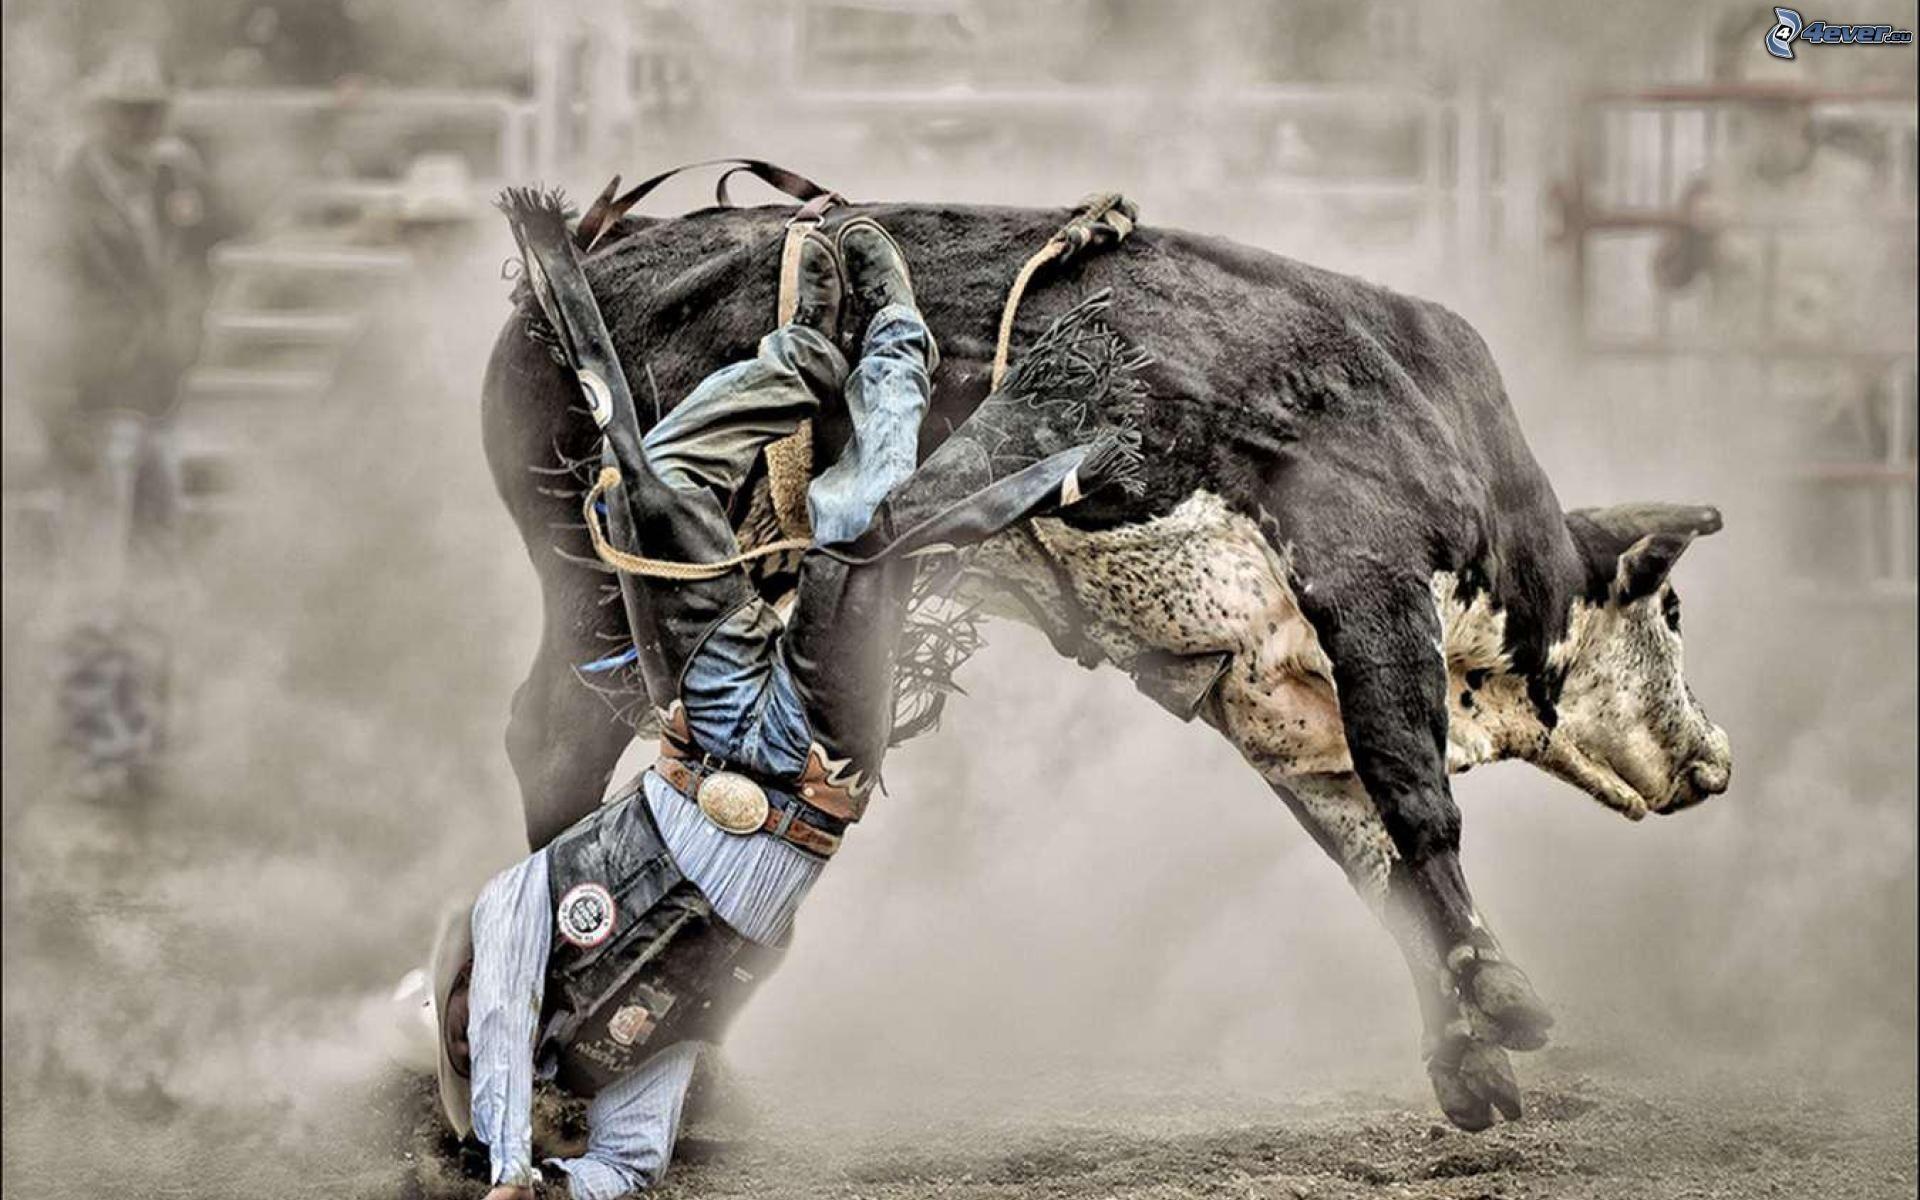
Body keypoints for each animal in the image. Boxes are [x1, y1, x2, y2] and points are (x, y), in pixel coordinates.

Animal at [479, 201, 1733, 1132]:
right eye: (1673, 607)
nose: (1713, 762)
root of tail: (590, 255)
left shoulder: (1281, 710)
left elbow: (1375, 862)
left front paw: (1469, 1062)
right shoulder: (1364, 569)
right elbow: (1419, 801)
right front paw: (1507, 1004)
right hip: (602, 578)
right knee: (559, 736)